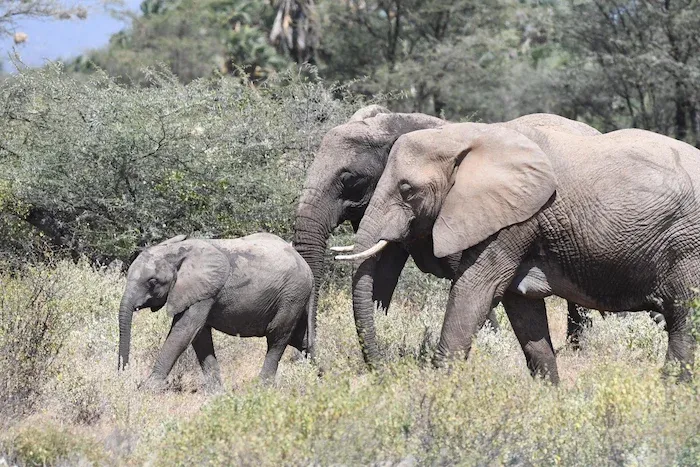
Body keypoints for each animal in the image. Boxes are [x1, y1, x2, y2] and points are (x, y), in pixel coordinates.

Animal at [118, 233, 314, 391]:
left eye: (152, 282)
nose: (123, 375)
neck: (176, 251)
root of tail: (308, 269)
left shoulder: (204, 291)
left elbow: (184, 331)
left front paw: (147, 389)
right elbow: (200, 336)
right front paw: (217, 393)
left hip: (291, 296)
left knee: (277, 337)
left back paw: (261, 388)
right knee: (300, 339)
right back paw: (319, 376)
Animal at [337, 122, 699, 383]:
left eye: (406, 189)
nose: (382, 371)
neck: (467, 135)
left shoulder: (513, 220)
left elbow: (474, 291)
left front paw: (436, 396)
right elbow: (522, 309)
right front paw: (549, 398)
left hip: (687, 246)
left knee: (684, 320)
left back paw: (669, 394)